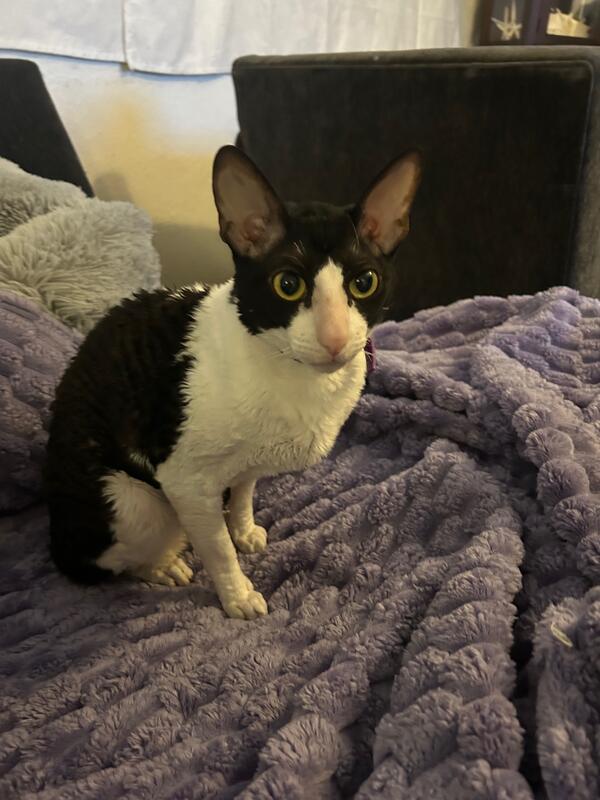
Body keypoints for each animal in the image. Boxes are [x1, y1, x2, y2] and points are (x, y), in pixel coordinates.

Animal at [45, 145, 421, 619]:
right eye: (288, 284)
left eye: (365, 282)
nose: (334, 339)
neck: (295, 377)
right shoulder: (185, 481)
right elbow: (217, 548)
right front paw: (237, 595)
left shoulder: (245, 464)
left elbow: (242, 492)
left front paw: (243, 530)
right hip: (133, 500)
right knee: (116, 558)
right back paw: (163, 565)